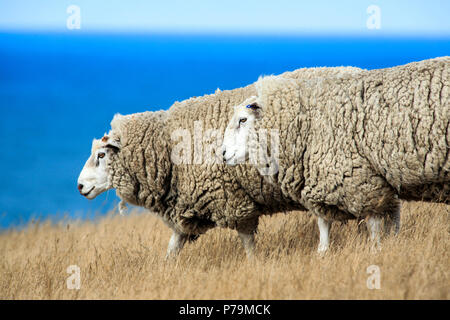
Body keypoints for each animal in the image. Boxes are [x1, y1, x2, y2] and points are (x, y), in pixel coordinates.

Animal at [77, 65, 364, 258]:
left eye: (101, 155)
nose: (79, 186)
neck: (167, 147)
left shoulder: (235, 201)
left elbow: (248, 244)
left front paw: (254, 264)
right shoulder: (186, 206)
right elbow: (172, 247)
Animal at [222, 57, 450, 252]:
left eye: (243, 119)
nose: (222, 153)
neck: (306, 122)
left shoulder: (363, 184)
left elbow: (374, 229)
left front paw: (376, 251)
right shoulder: (327, 183)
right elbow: (324, 226)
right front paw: (323, 253)